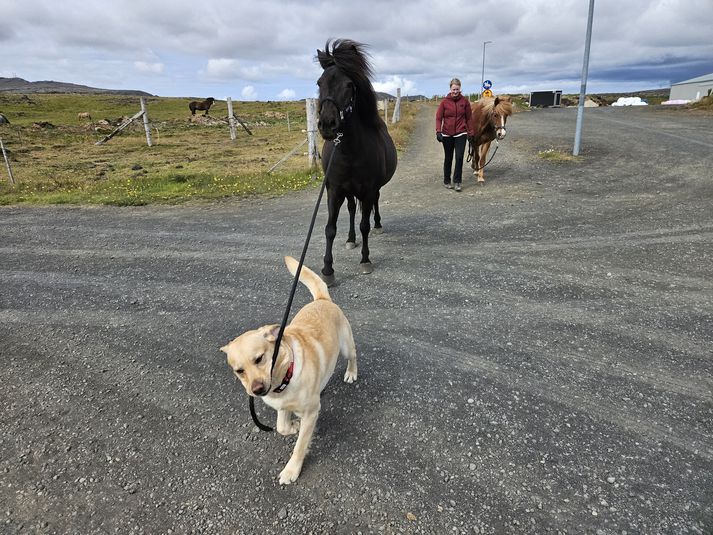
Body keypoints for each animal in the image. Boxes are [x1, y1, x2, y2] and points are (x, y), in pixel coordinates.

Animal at [221, 255, 358, 486]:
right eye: (239, 370)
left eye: (259, 358)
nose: (257, 389)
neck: (286, 374)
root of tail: (322, 299)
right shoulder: (282, 406)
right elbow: (282, 427)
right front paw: (293, 426)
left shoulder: (311, 413)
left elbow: (300, 446)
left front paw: (291, 470)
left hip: (346, 346)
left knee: (353, 356)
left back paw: (351, 372)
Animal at [316, 39, 398, 286]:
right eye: (319, 82)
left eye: (349, 85)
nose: (327, 124)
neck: (349, 151)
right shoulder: (334, 190)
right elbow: (330, 228)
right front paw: (328, 270)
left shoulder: (368, 190)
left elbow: (365, 225)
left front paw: (365, 260)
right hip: (348, 191)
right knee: (352, 209)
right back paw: (351, 239)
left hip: (371, 190)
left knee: (374, 206)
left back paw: (377, 225)